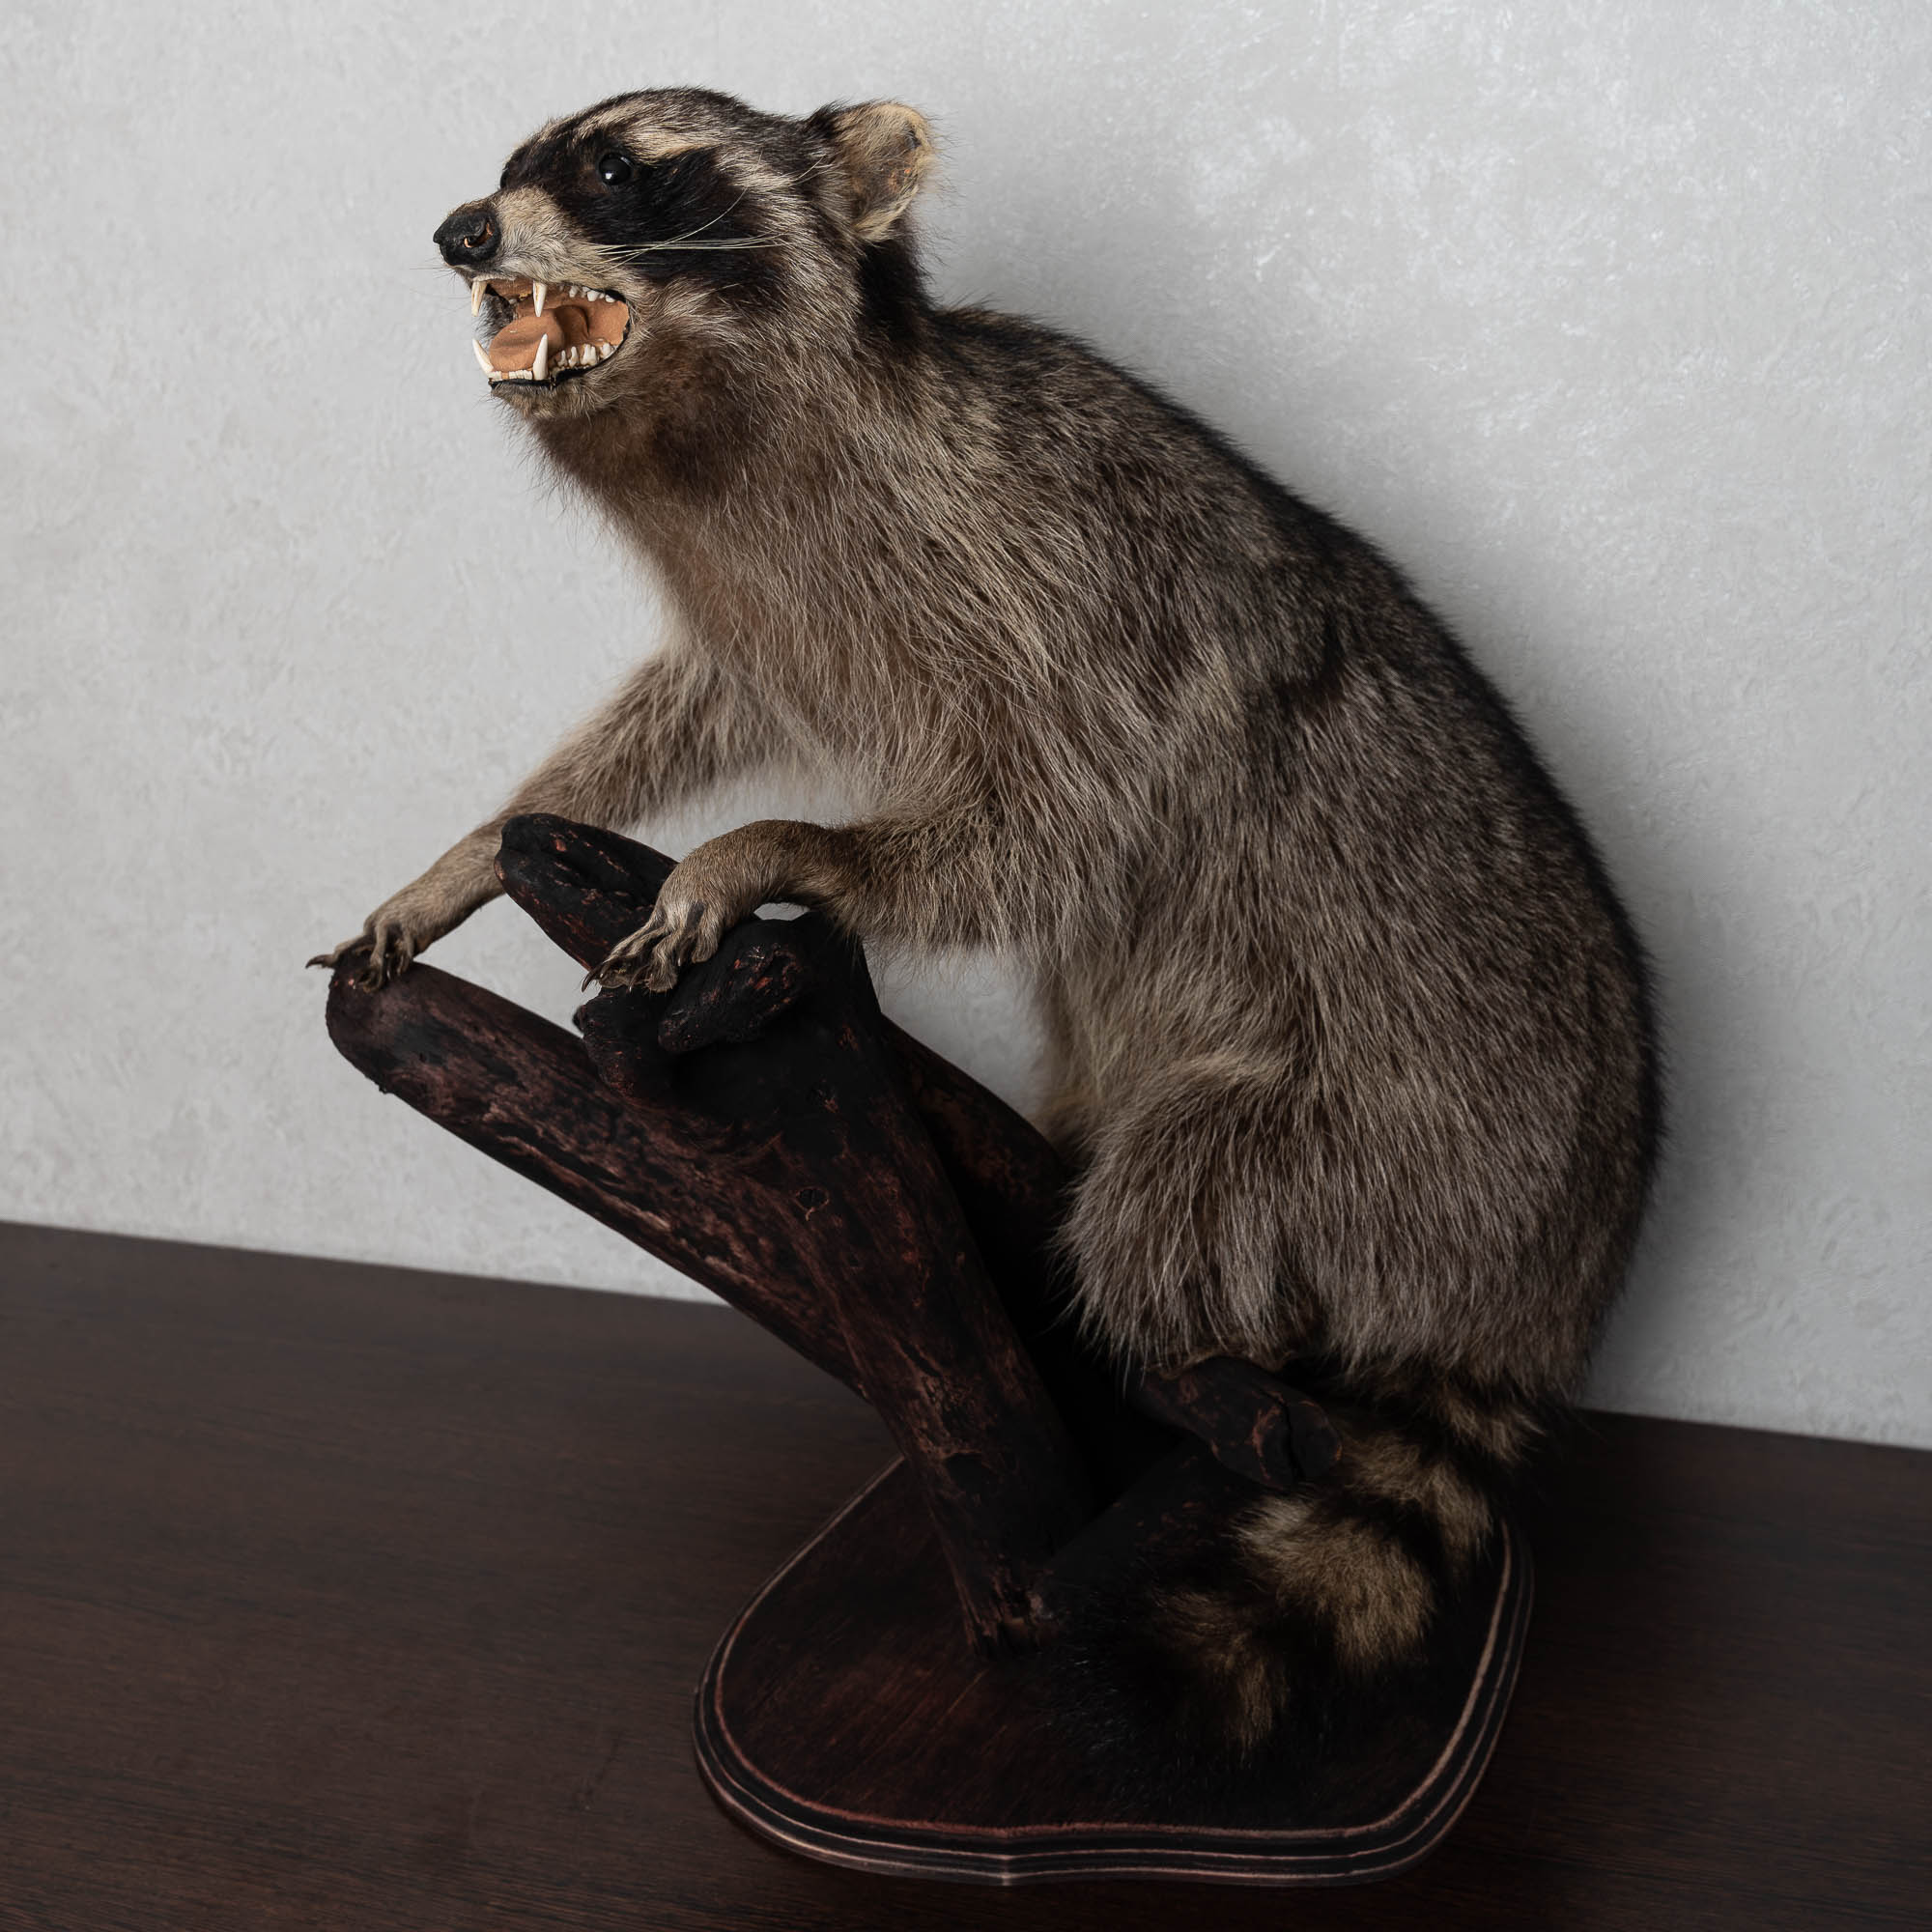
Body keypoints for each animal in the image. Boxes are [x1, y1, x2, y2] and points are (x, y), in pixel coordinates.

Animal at [314, 87, 1659, 1771]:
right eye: (511, 164)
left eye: (616, 168)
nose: (463, 231)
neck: (715, 428)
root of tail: (1550, 1291)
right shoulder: (758, 621)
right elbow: (672, 719)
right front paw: (471, 857)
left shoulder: (1065, 604)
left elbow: (1052, 834)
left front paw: (775, 848)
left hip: (1405, 1148)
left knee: (1174, 1199)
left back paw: (1207, 1376)